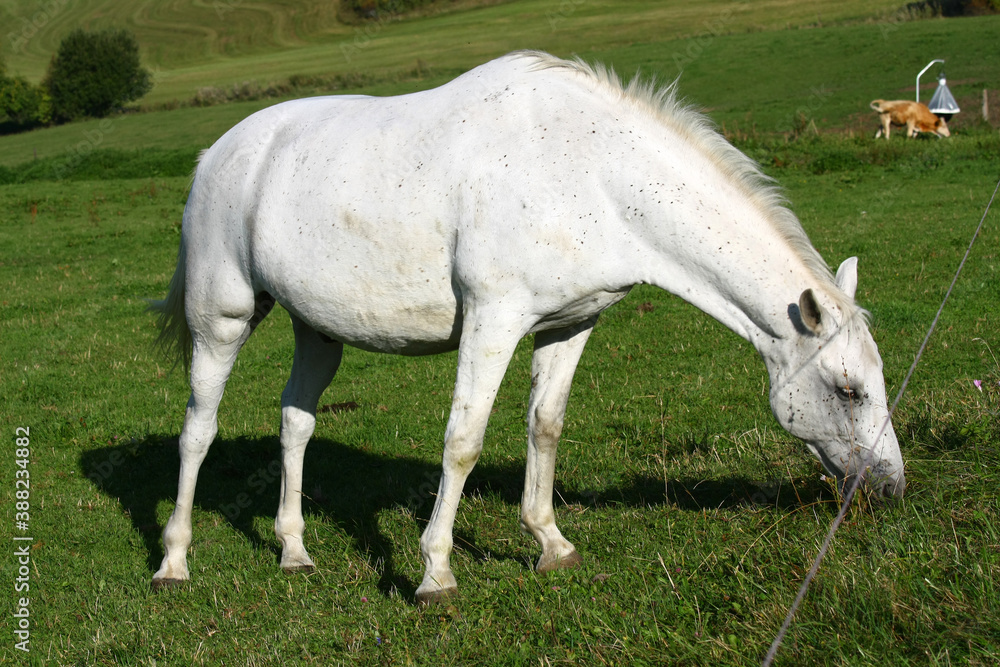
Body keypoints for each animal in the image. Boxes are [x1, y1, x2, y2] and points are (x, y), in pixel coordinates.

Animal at [150, 52, 908, 604]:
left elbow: (545, 426)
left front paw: (550, 543)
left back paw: (294, 551)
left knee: (295, 423)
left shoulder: (570, 325)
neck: (593, 173)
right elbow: (462, 442)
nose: (890, 488)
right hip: (223, 320)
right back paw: (174, 562)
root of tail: (219, 153)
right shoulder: (494, 321)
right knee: (197, 431)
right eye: (848, 390)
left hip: (317, 330)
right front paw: (435, 574)